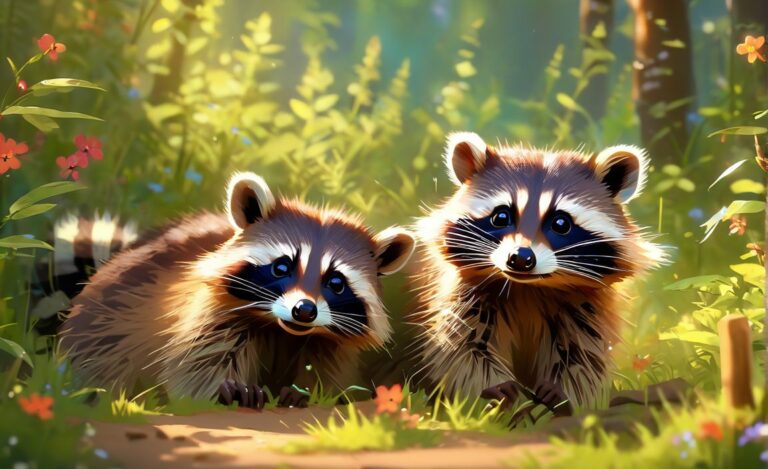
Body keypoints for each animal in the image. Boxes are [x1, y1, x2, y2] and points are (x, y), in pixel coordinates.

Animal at [58, 172, 415, 408]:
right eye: (282, 267)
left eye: (336, 282)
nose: (304, 310)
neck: (282, 328)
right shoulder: (210, 310)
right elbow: (197, 362)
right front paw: (227, 388)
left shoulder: (331, 342)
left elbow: (326, 374)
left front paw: (306, 392)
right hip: (105, 323)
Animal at [412, 132, 664, 414]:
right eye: (501, 217)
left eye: (561, 223)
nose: (521, 259)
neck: (529, 287)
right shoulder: (467, 298)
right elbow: (464, 348)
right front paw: (492, 390)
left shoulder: (584, 310)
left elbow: (582, 358)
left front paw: (562, 393)